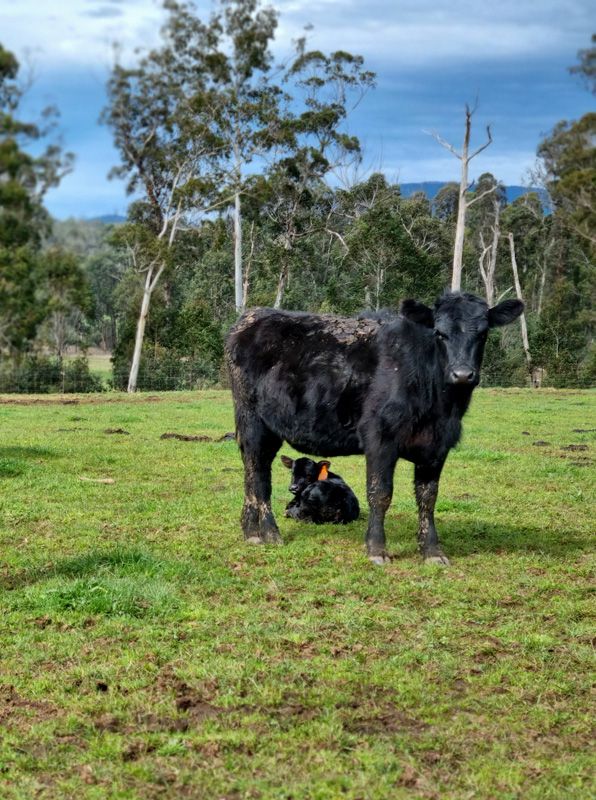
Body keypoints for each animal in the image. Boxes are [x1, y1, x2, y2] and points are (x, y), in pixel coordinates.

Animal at [225, 291, 523, 566]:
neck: (439, 407)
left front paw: (432, 552)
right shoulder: (380, 439)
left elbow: (428, 498)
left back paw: (251, 532)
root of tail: (251, 316)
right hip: (253, 423)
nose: (462, 375)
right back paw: (270, 534)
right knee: (259, 477)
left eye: (483, 334)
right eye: (439, 333)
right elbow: (380, 493)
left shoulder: (437, 447)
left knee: (252, 474)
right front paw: (377, 549)